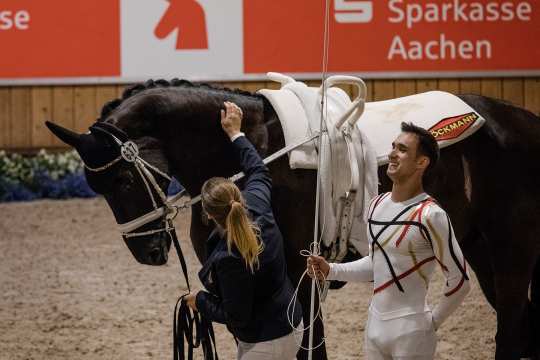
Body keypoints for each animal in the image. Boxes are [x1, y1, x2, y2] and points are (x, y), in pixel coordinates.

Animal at [45, 79, 540, 360]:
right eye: (96, 187)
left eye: (124, 178)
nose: (147, 250)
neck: (245, 154)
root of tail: (524, 121)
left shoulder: (300, 275)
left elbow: (310, 346)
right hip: (476, 248)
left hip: (512, 251)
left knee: (510, 331)